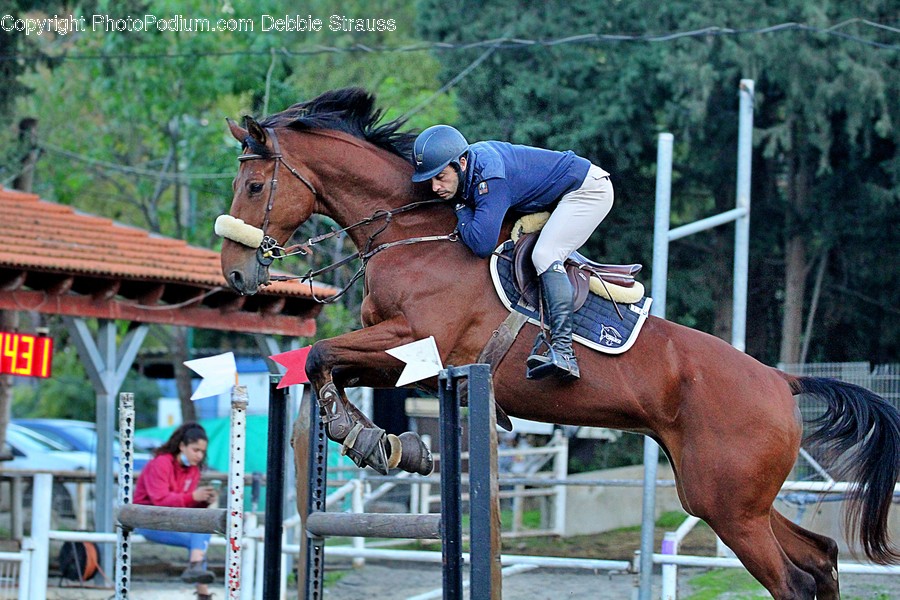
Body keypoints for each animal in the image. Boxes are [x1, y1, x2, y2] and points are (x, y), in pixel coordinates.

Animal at [218, 88, 900, 599]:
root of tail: (781, 381)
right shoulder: (401, 362)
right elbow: (330, 367)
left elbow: (321, 355)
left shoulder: (418, 344)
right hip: (729, 499)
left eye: (253, 188)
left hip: (729, 506)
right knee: (819, 558)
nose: (236, 275)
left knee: (793, 579)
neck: (416, 233)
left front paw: (367, 438)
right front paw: (382, 440)